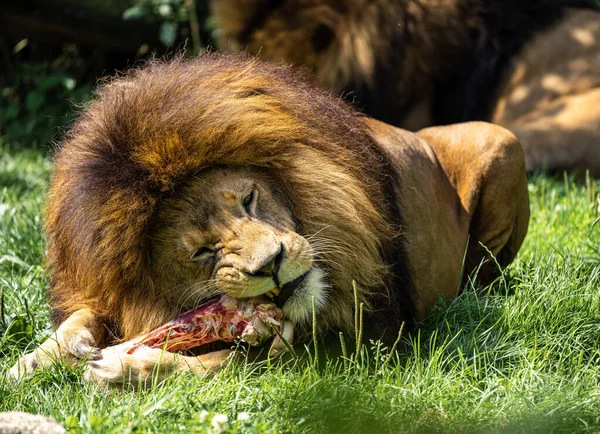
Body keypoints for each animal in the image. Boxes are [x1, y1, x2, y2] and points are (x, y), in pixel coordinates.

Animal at [10, 54, 528, 386]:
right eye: (202, 252)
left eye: (250, 199)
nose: (273, 263)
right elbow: (81, 317)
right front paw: (34, 360)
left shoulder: (364, 343)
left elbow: (224, 363)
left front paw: (126, 369)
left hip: (501, 142)